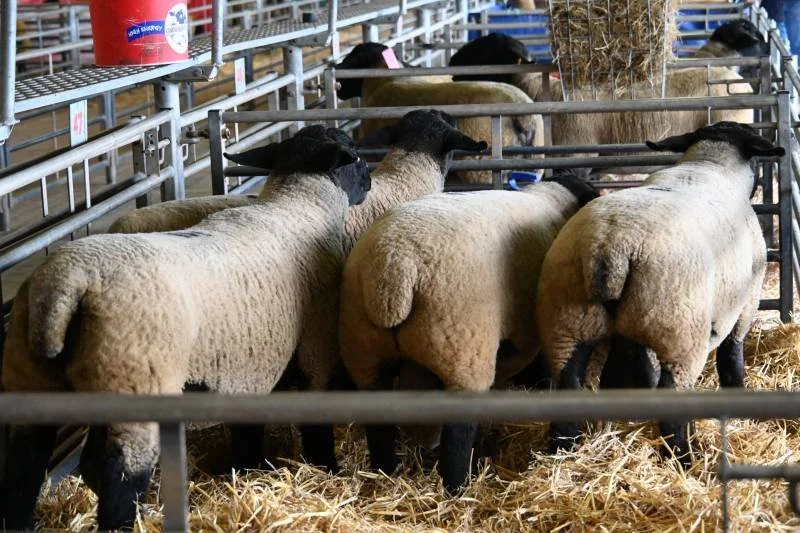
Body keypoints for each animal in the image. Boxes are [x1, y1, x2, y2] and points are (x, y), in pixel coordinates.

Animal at [0, 128, 372, 530]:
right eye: (354, 155)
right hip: (133, 382)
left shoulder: (251, 363)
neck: (301, 207)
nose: (369, 180)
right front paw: (329, 471)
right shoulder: (314, 349)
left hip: (30, 379)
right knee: (118, 479)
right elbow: (316, 427)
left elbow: (248, 427)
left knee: (23, 471)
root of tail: (63, 288)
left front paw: (249, 469)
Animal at [335, 42, 544, 184]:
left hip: (481, 170)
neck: (380, 82)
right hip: (534, 165)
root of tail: (525, 120)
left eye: (353, 59)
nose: (337, 87)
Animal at [338, 172, 599, 492]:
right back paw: (458, 486)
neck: (554, 197)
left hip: (363, 347)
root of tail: (393, 274)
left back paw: (384, 471)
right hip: (462, 348)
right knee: (457, 435)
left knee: (378, 423)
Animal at [534, 121, 783, 465]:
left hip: (568, 322)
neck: (709, 163)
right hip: (679, 332)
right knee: (672, 406)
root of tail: (609, 250)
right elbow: (732, 356)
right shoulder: (747, 302)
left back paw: (563, 454)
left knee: (567, 389)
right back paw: (686, 460)